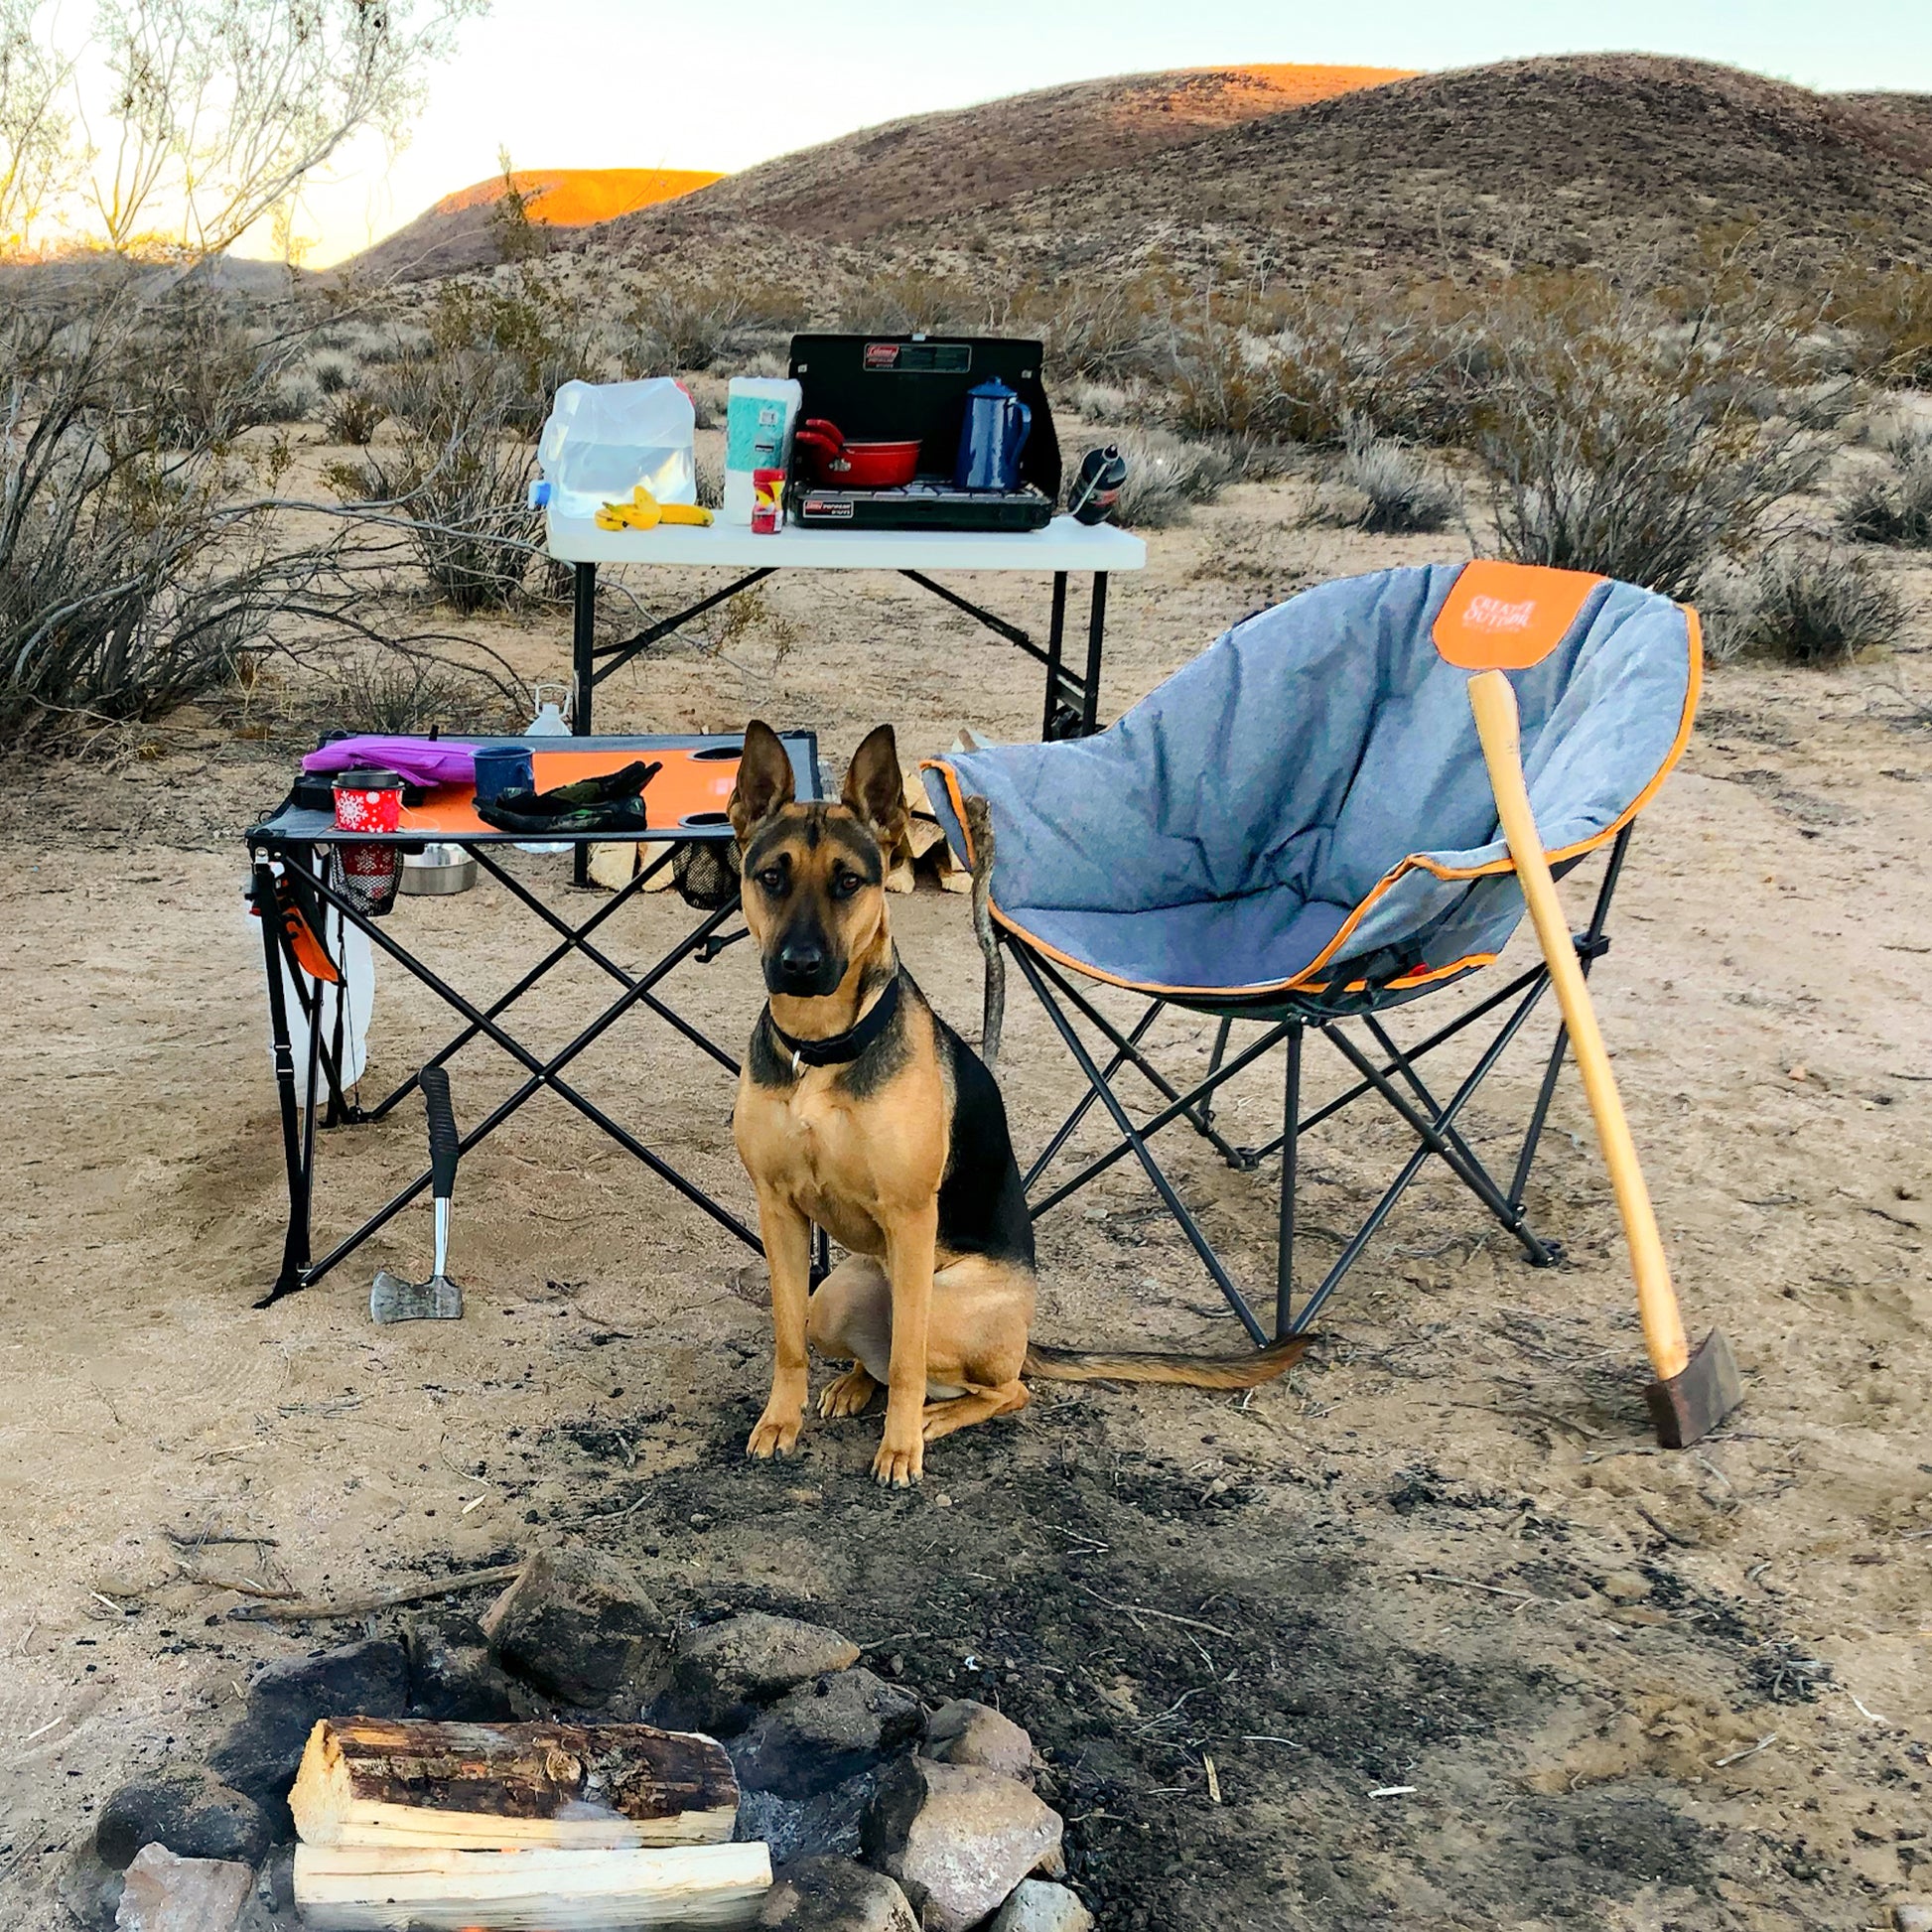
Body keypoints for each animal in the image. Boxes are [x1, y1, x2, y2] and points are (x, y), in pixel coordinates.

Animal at [726, 718, 1313, 1483]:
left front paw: (900, 1446)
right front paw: (780, 1420)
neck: (821, 1052)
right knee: (878, 1355)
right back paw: (855, 1385)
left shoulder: (910, 1218)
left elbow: (908, 1364)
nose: (800, 967)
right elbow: (788, 1338)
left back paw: (933, 1418)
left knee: (994, 1383)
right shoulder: (779, 1211)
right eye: (771, 876)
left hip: (948, 1304)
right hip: (839, 1293)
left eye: (848, 882)